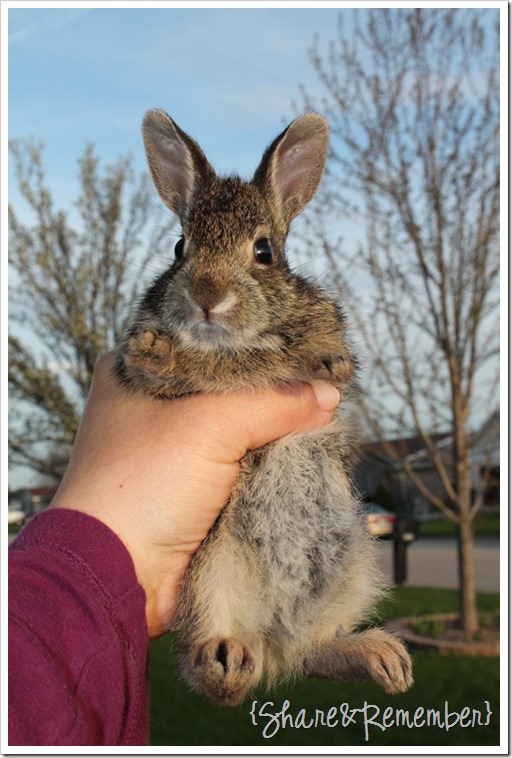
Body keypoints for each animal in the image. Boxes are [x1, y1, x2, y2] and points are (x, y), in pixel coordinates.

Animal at [115, 109, 413, 706]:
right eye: (180, 246)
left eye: (264, 252)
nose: (206, 296)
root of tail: (275, 638)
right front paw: (159, 354)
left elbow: (323, 358)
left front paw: (323, 361)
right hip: (212, 567)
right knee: (218, 673)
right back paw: (226, 663)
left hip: (353, 565)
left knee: (313, 651)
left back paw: (379, 658)